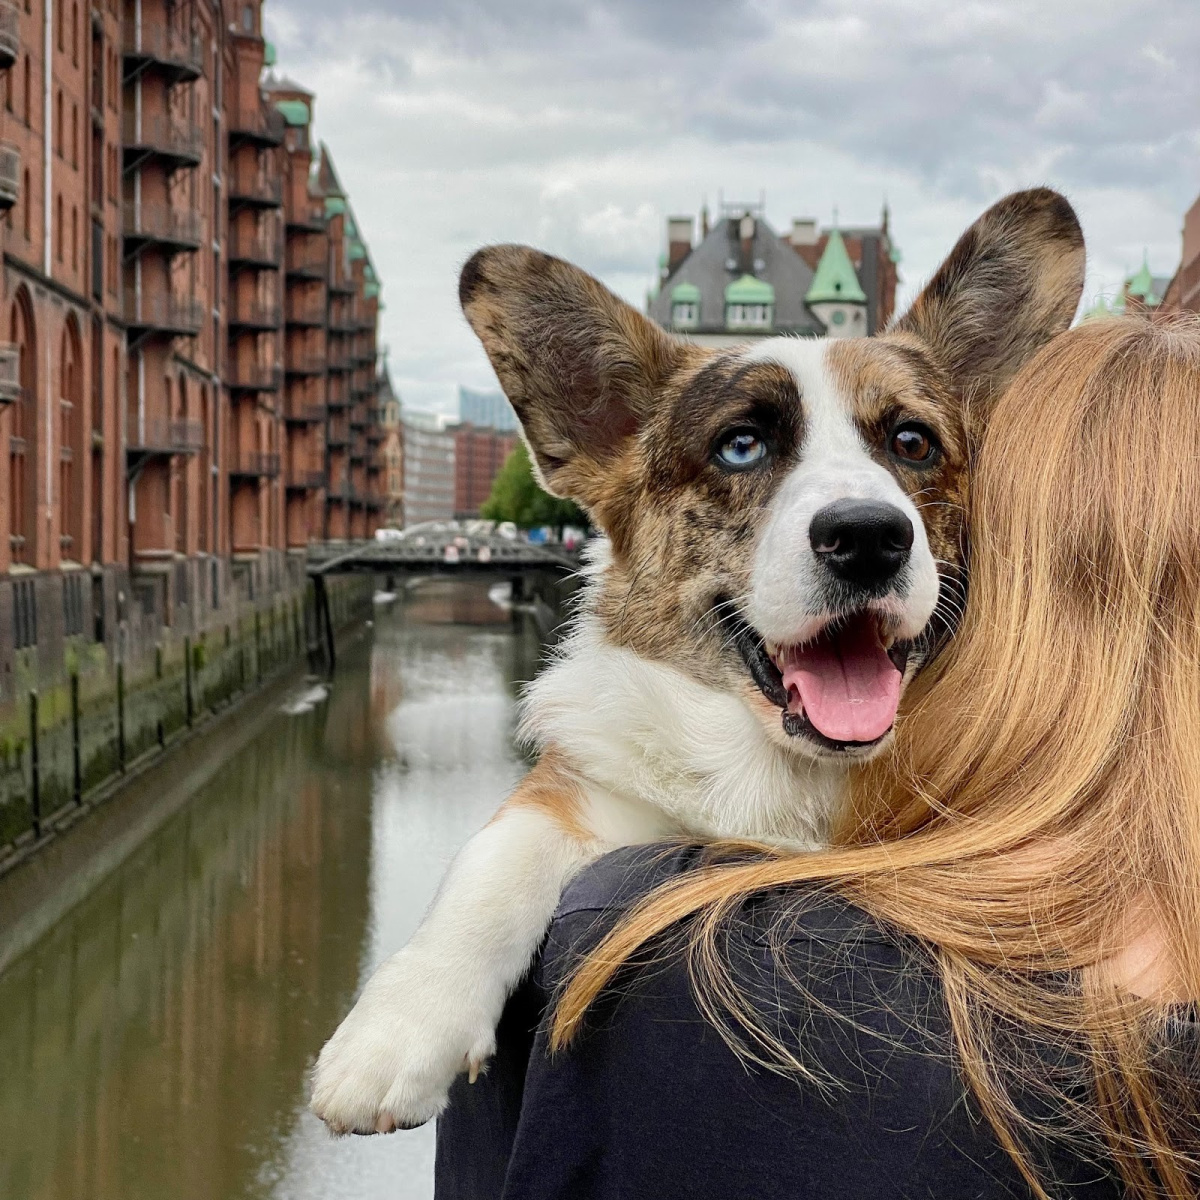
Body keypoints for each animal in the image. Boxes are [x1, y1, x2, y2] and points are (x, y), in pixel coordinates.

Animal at [309, 187, 1089, 1132]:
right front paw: (397, 1028)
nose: (869, 537)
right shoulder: (585, 793)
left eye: (912, 443)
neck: (786, 774)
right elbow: (493, 861)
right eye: (740, 446)